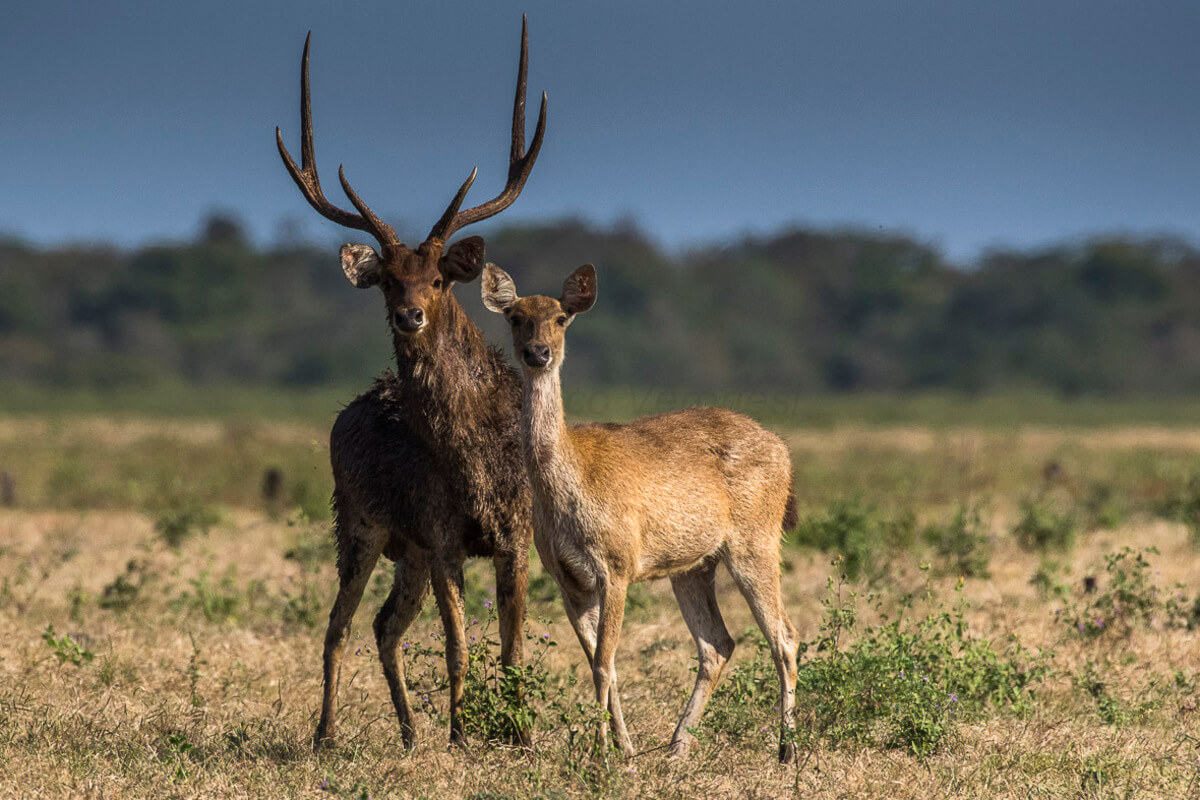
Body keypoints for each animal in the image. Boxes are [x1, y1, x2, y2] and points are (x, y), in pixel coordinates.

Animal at [482, 263, 801, 762]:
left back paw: (787, 751)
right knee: (718, 643)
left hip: (756, 540)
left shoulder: (617, 565)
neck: (571, 486)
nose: (538, 353)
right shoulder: (568, 580)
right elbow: (602, 663)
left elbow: (603, 662)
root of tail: (785, 454)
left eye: (560, 318)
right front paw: (625, 751)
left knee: (785, 637)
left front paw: (602, 755)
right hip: (693, 565)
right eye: (515, 317)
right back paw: (675, 747)